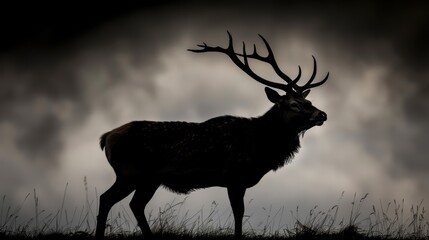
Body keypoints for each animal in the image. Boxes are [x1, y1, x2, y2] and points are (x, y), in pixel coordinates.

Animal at [94, 31, 328, 238]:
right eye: (293, 104)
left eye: (308, 101)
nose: (322, 114)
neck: (260, 147)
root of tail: (106, 137)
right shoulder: (234, 176)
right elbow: (239, 214)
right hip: (130, 172)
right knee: (106, 199)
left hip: (149, 179)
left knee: (135, 205)